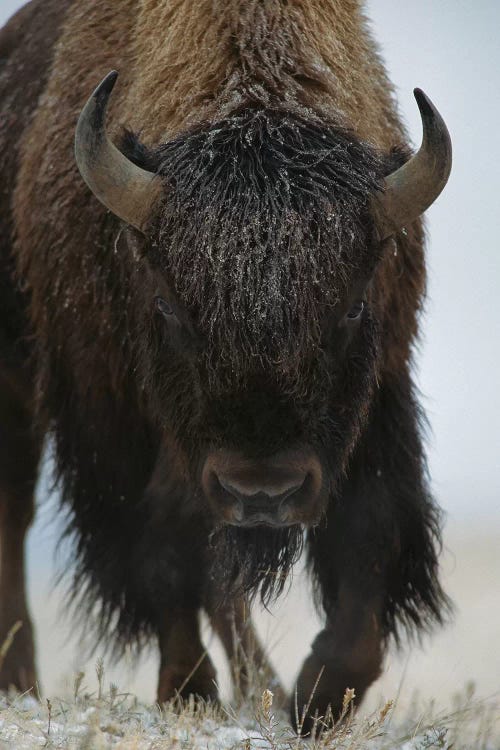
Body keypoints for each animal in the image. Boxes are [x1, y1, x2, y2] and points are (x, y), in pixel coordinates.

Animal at [0, 0, 452, 732]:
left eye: (354, 305)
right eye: (167, 304)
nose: (262, 492)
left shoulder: (378, 397)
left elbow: (369, 539)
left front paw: (315, 698)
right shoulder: (109, 415)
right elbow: (159, 547)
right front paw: (188, 691)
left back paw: (261, 685)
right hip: (15, 385)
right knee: (15, 512)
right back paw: (21, 679)